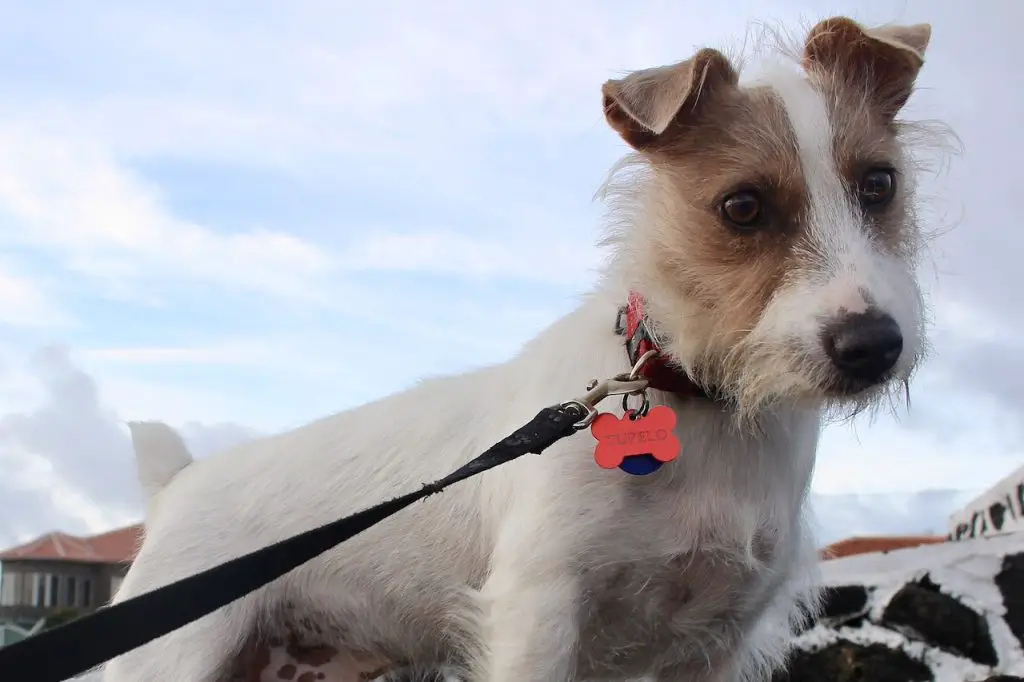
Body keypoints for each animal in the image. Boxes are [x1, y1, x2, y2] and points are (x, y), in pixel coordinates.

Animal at [101, 14, 950, 679]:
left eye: (879, 184)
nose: (873, 345)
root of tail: (178, 484)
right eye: (741, 206)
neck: (691, 394)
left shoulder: (715, 640)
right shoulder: (538, 613)